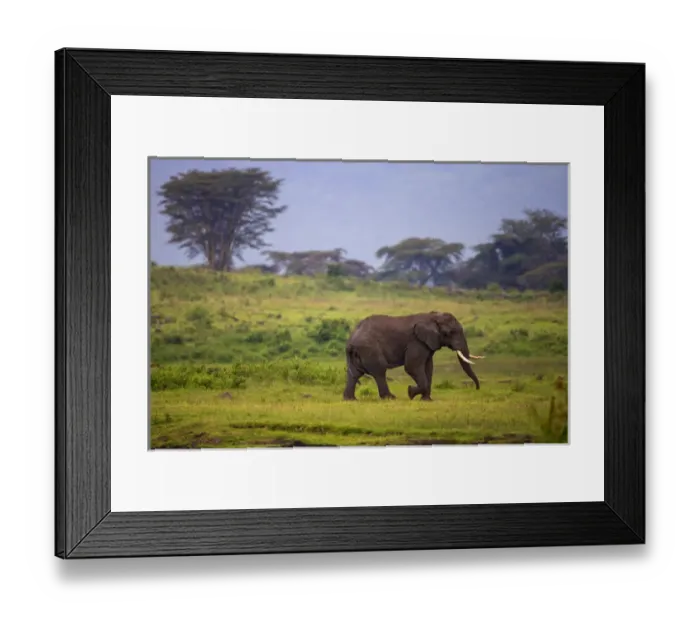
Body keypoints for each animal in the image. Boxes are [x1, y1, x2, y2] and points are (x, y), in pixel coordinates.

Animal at [342, 311, 482, 401]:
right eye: (451, 332)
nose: (476, 389)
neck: (432, 316)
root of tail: (351, 340)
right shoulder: (416, 342)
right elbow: (412, 367)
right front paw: (410, 393)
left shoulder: (427, 344)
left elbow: (428, 368)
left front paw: (426, 400)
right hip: (370, 350)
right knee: (380, 371)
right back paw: (390, 398)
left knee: (354, 373)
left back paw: (350, 399)